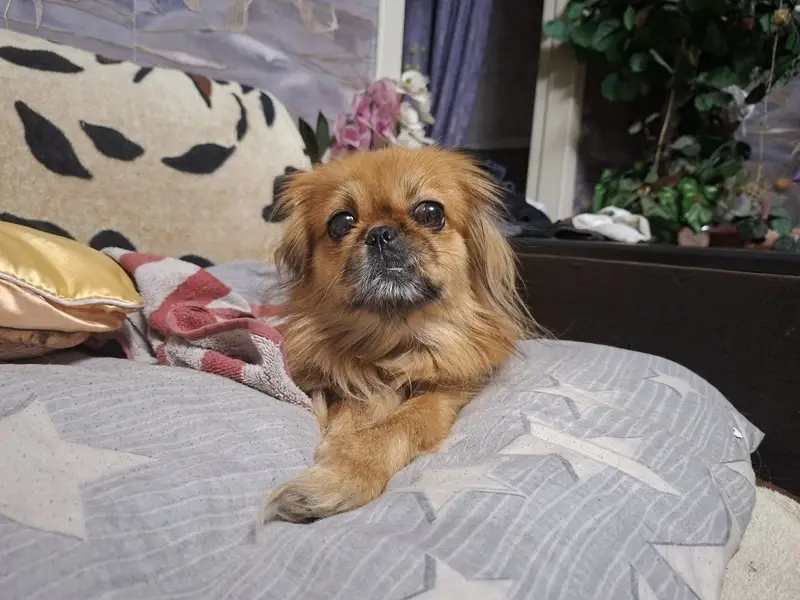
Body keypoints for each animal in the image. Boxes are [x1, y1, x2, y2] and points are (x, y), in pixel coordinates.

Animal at [260, 146, 537, 524]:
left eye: (430, 212)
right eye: (341, 223)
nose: (380, 233)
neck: (395, 341)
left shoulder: (451, 390)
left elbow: (405, 421)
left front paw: (343, 475)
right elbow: (360, 402)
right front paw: (343, 443)